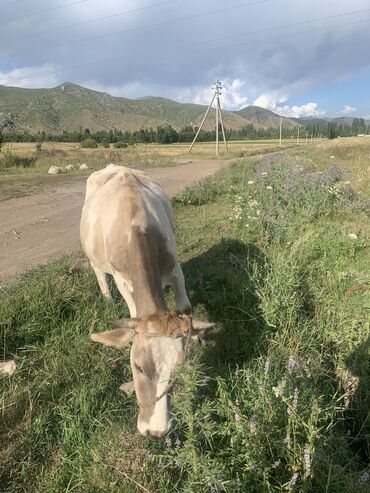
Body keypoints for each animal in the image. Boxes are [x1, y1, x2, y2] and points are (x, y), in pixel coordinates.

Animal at [79, 164, 215, 434]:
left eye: (177, 369)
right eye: (138, 367)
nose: (157, 430)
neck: (136, 225)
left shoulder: (175, 270)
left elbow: (185, 307)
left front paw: (198, 335)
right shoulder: (122, 280)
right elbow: (132, 312)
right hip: (95, 260)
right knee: (100, 277)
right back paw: (107, 299)